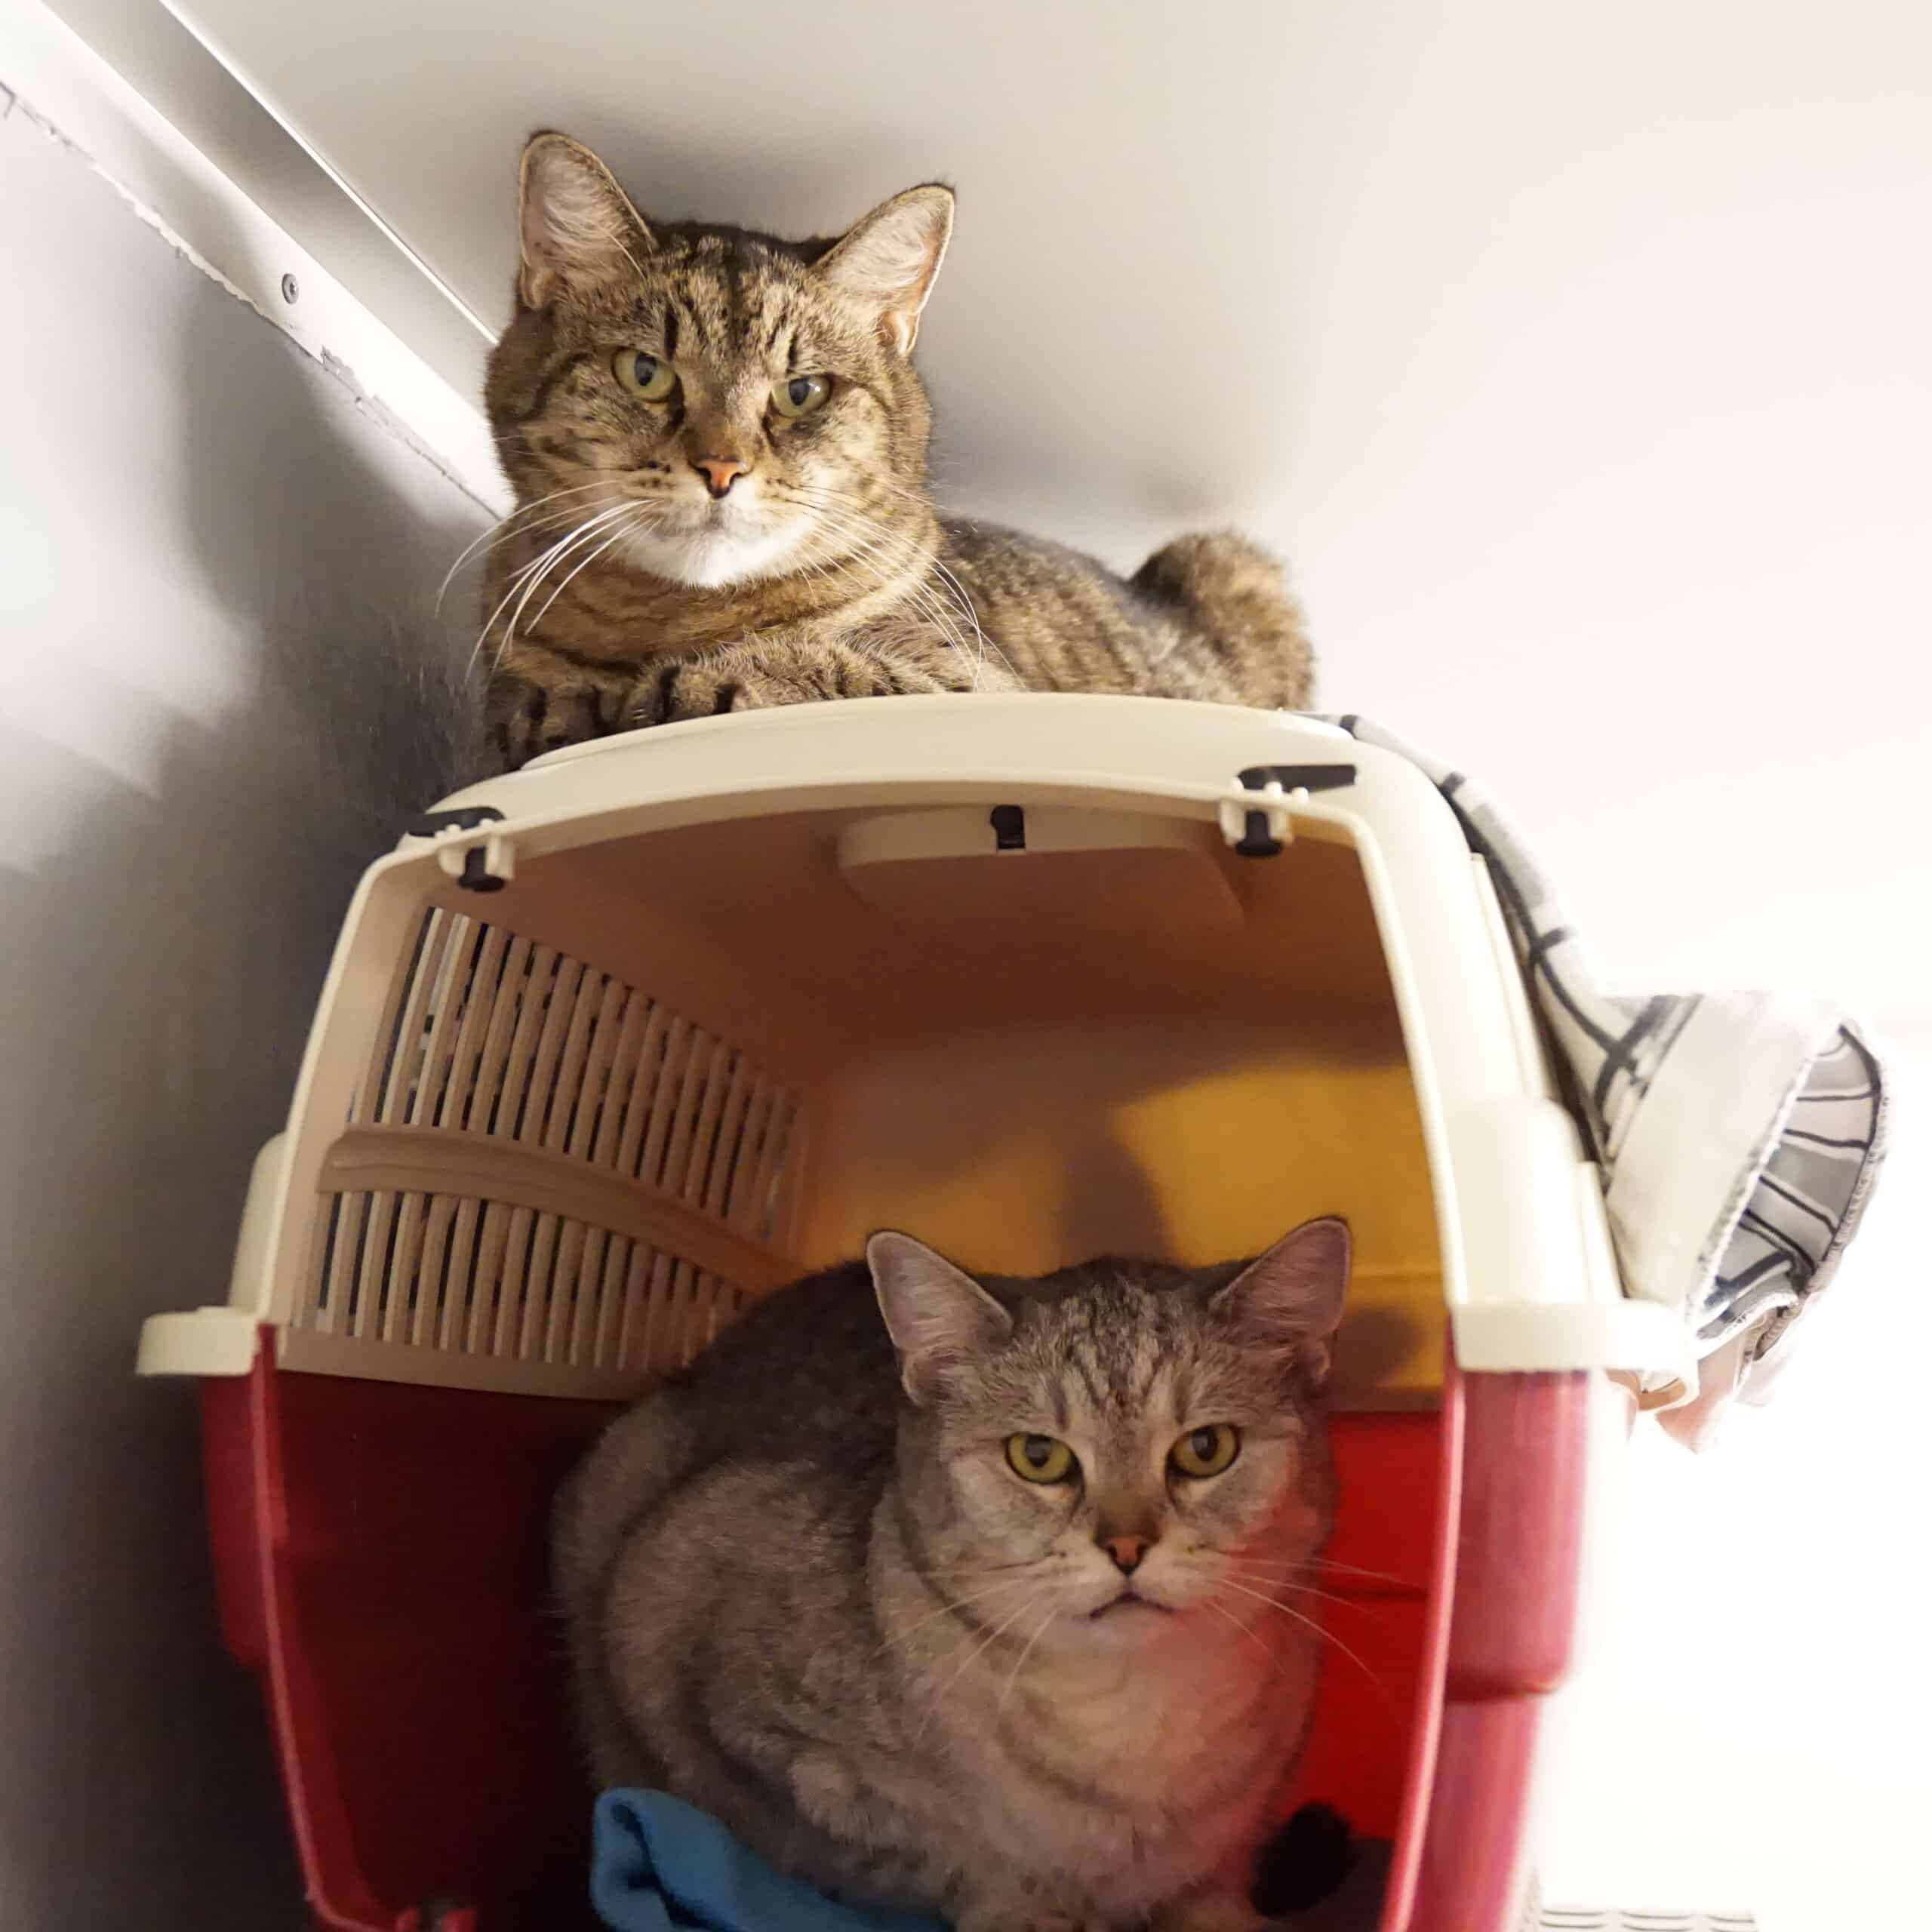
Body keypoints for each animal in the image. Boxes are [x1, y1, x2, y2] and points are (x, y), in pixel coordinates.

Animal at [480, 133, 1315, 769]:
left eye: (802, 391)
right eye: (645, 372)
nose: (721, 467)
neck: (673, 619)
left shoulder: (976, 686)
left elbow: (840, 670)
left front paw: (676, 688)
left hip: (1229, 559)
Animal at [554, 1217, 1350, 1932]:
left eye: (1206, 1449)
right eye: (1039, 1457)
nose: (1126, 1547)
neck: (1129, 1722)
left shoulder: (1244, 1818)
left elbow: (1209, 1883)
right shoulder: (691, 1662)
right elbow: (952, 1857)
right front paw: (1034, 1910)